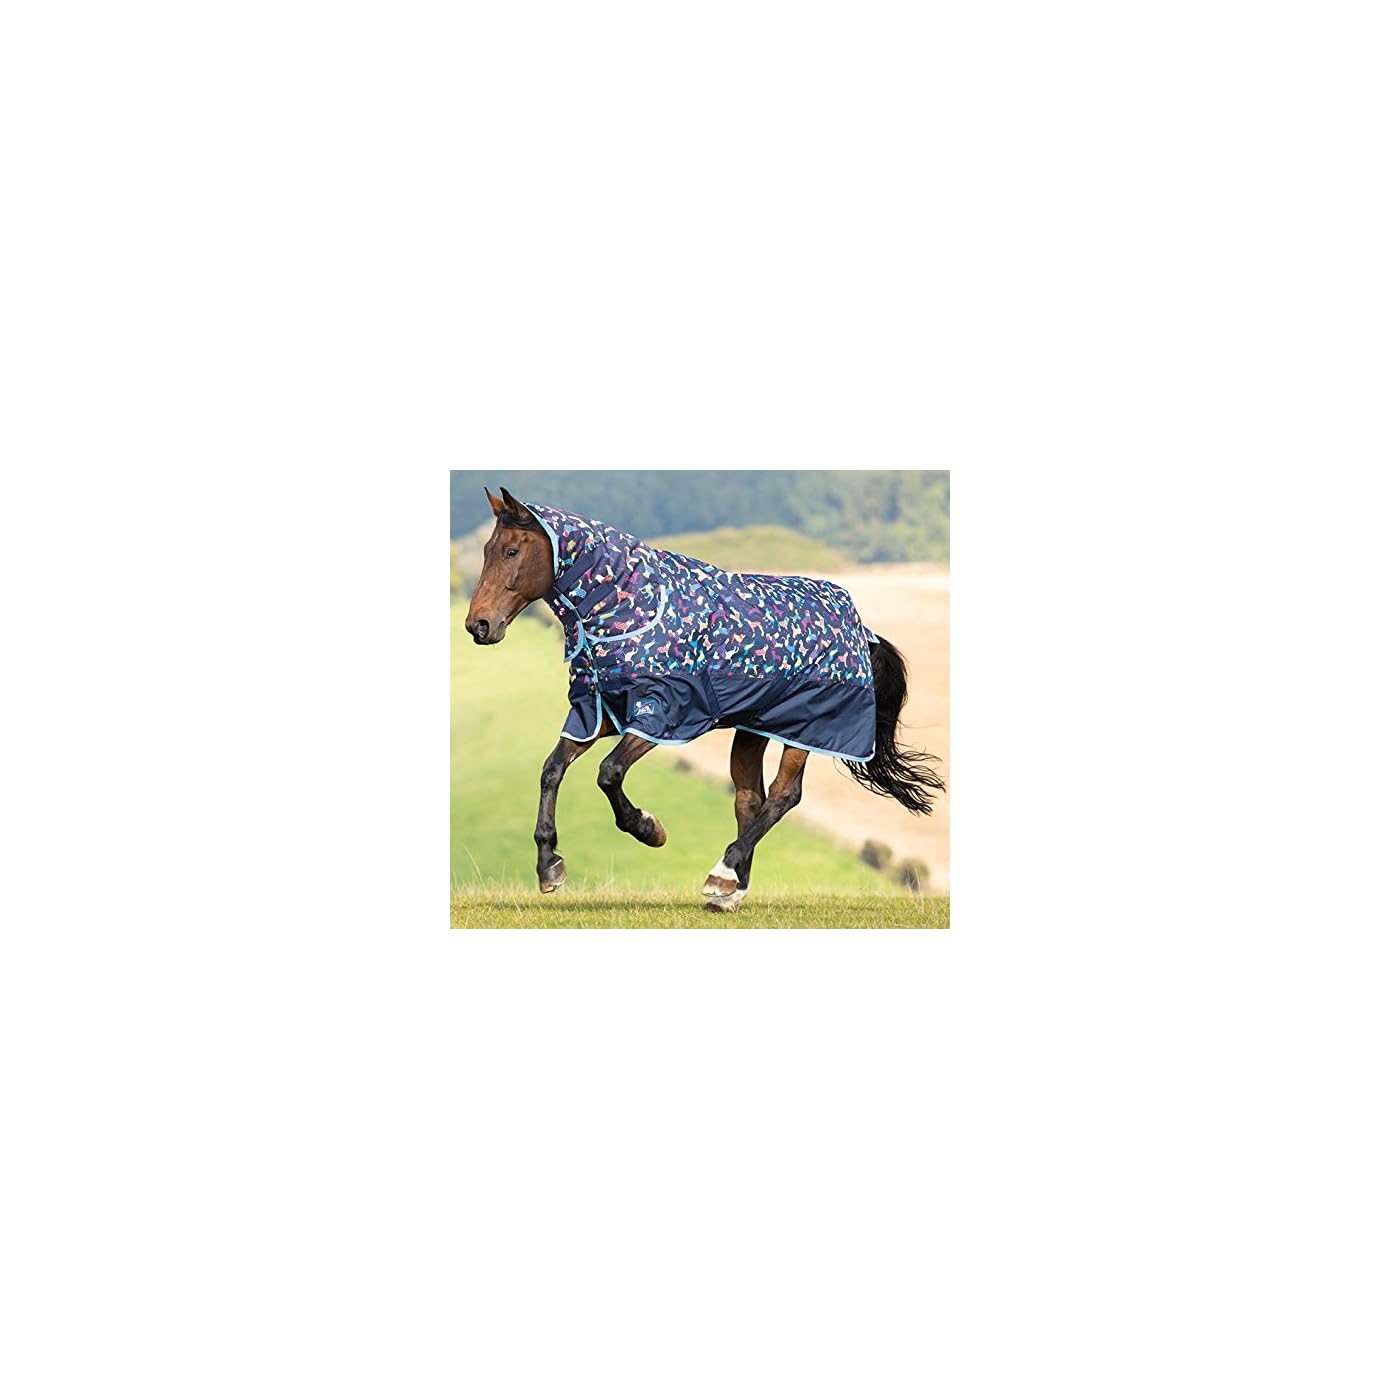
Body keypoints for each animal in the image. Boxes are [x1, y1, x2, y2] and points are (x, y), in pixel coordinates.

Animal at [465, 486, 944, 913]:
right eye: (487, 549)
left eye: (511, 551)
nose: (479, 625)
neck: (631, 609)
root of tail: (863, 631)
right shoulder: (598, 711)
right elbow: (552, 770)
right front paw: (550, 866)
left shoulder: (663, 714)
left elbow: (609, 772)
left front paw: (649, 829)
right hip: (755, 727)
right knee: (750, 798)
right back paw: (729, 890)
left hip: (808, 728)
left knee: (784, 796)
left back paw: (723, 872)